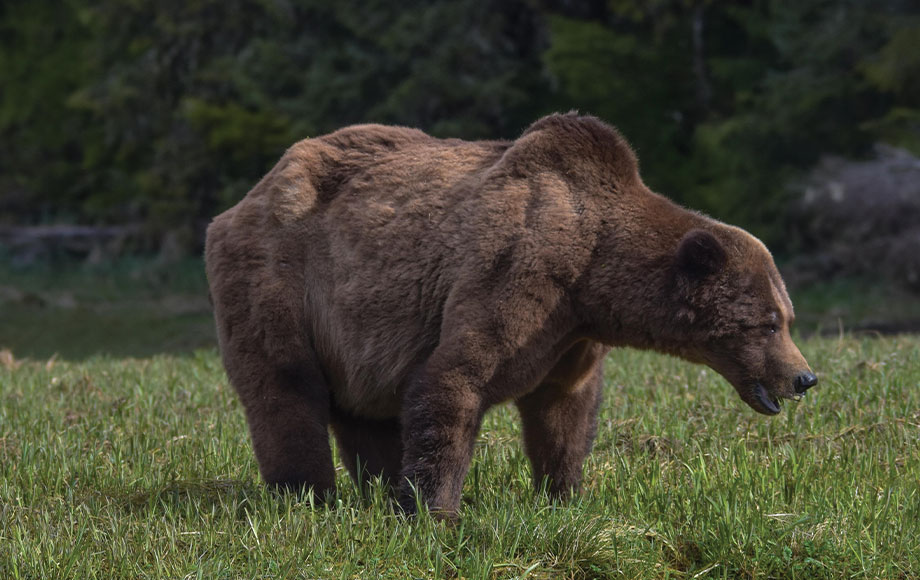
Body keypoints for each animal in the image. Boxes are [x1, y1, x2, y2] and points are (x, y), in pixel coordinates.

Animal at [205, 112, 816, 516]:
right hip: (281, 282)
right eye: (767, 322)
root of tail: (243, 199)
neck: (594, 271)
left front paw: (565, 493)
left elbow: (564, 409)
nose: (804, 377)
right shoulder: (522, 269)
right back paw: (307, 496)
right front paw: (434, 511)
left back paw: (374, 488)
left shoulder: (571, 336)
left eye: (787, 317)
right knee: (285, 388)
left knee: (364, 410)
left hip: (352, 334)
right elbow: (454, 377)